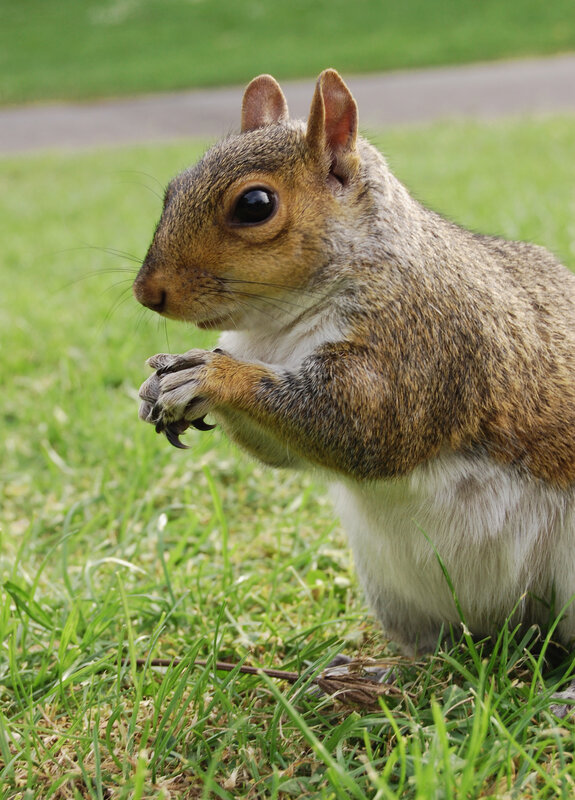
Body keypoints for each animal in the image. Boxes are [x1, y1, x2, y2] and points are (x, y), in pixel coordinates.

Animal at [133, 69, 575, 656]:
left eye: (255, 204)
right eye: (172, 189)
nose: (145, 292)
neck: (275, 331)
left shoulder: (421, 347)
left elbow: (362, 429)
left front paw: (212, 374)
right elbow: (284, 451)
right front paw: (161, 386)